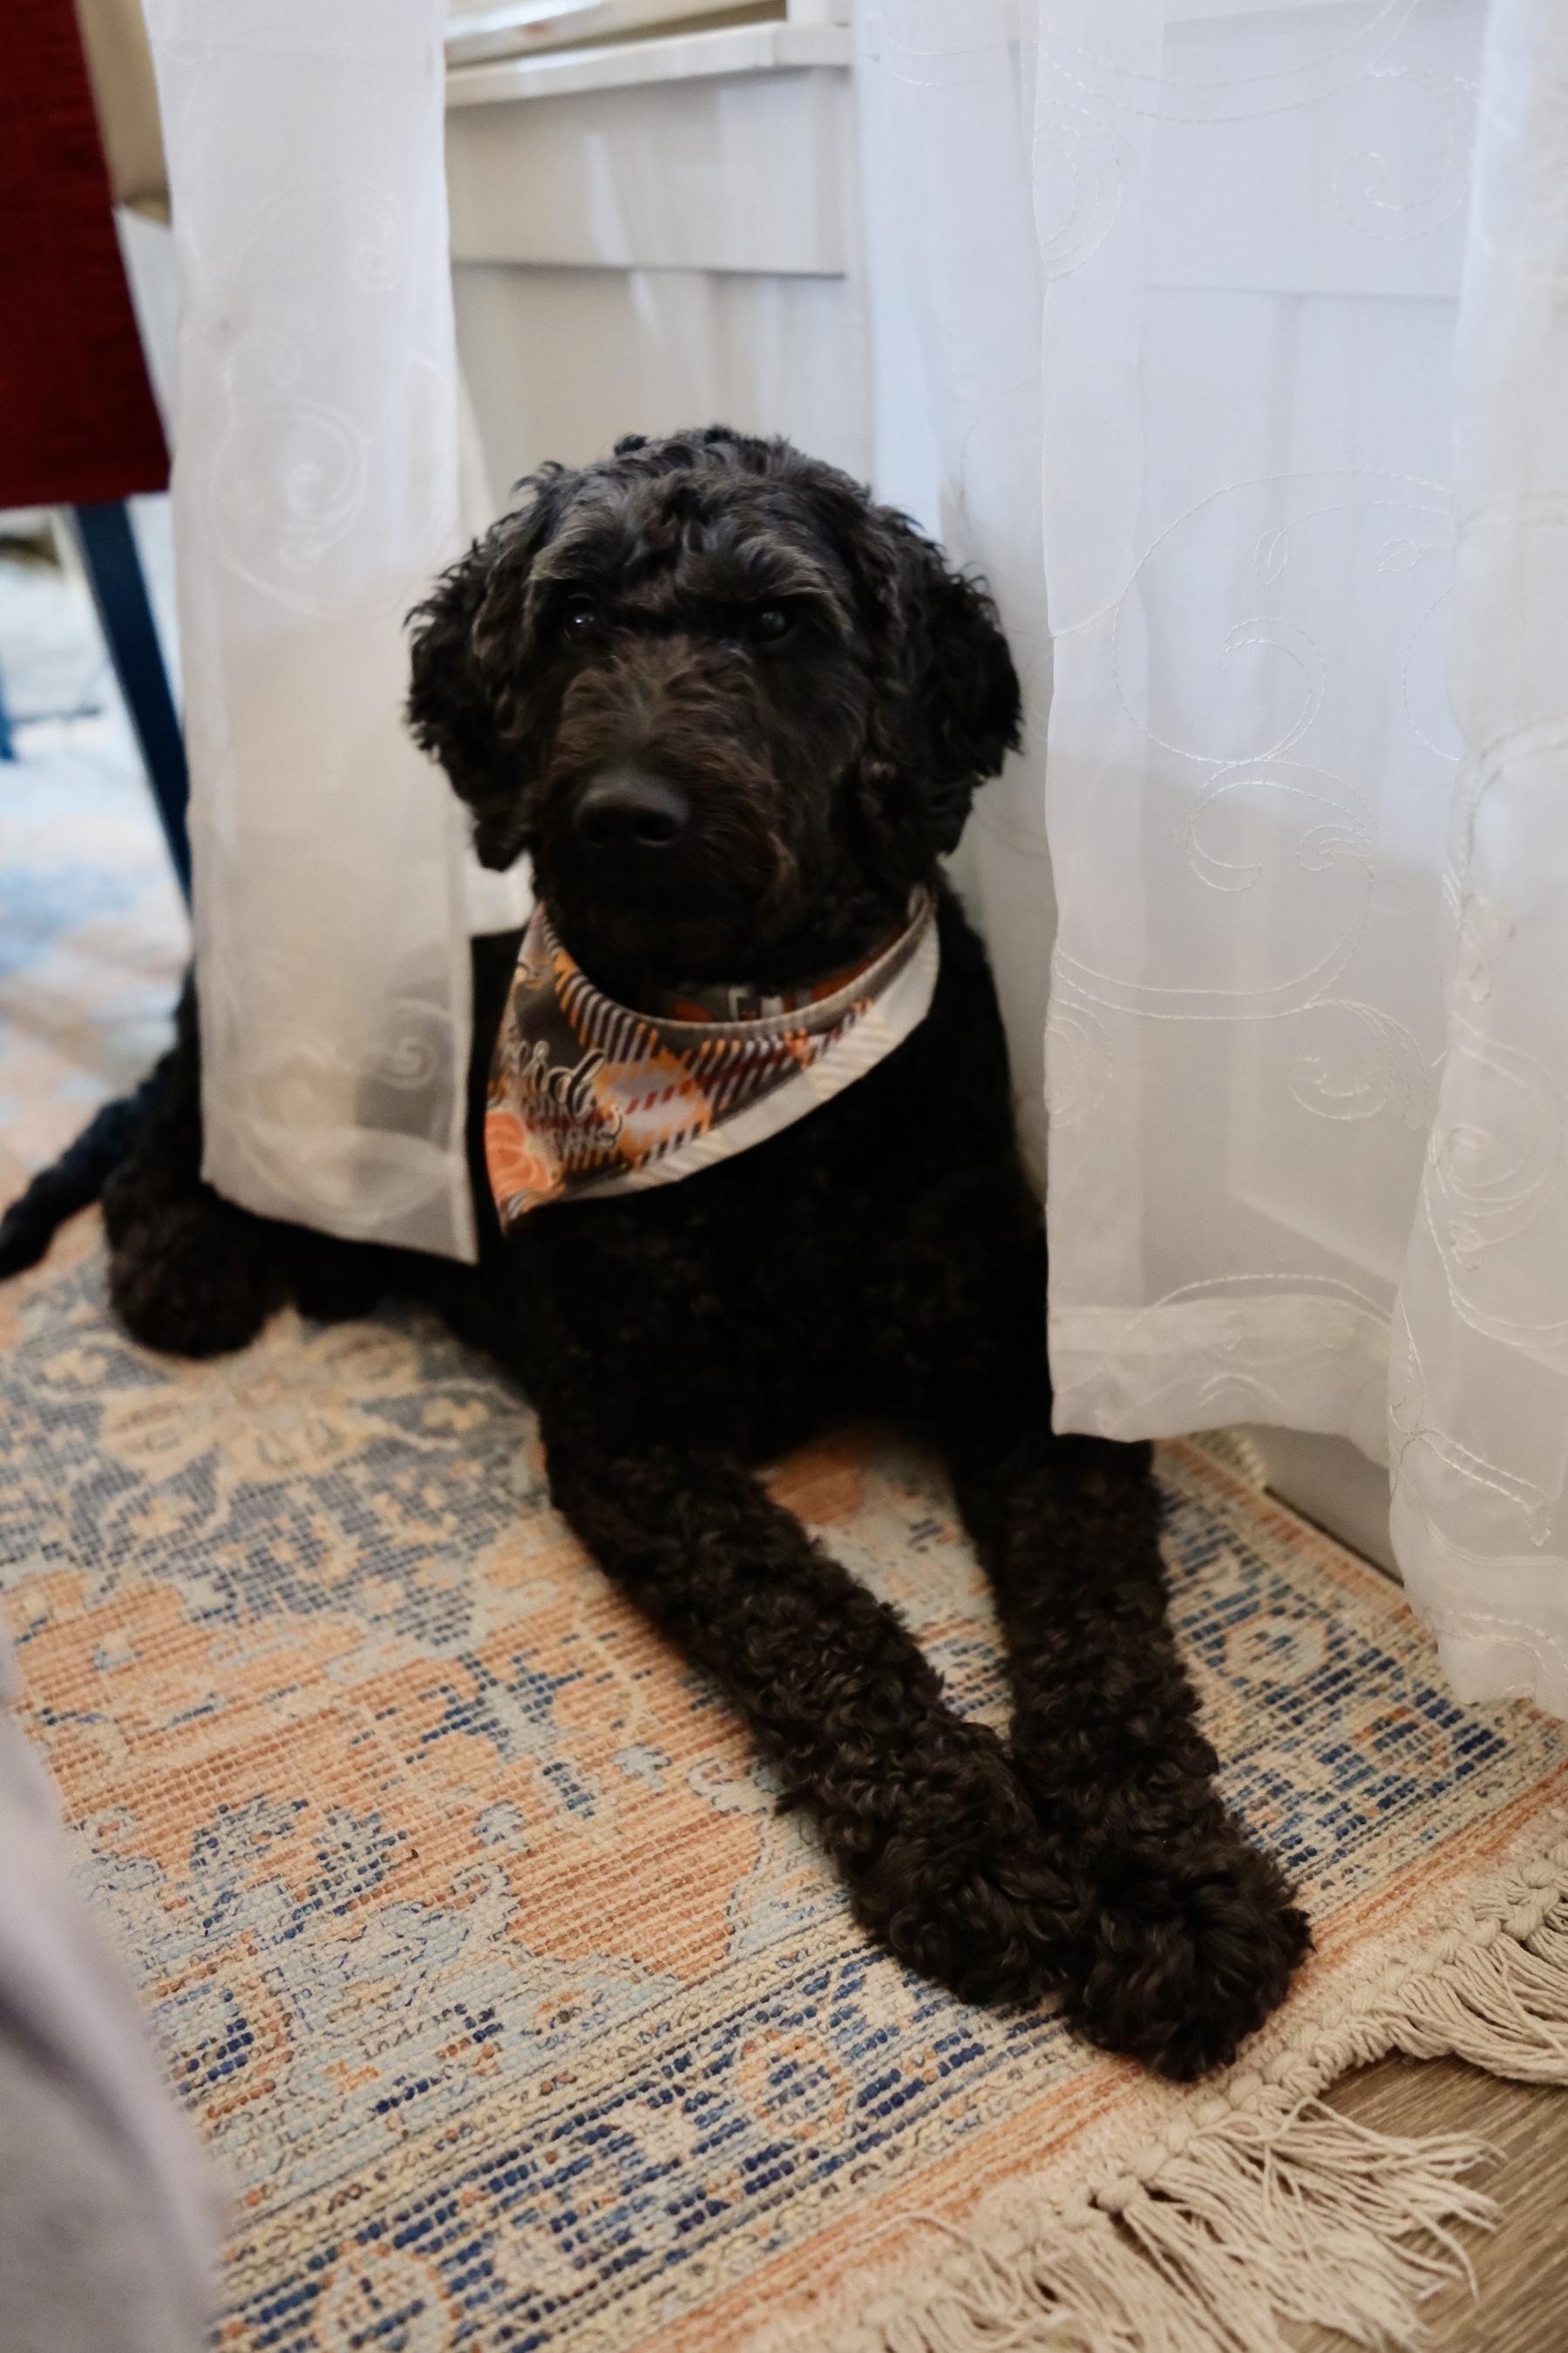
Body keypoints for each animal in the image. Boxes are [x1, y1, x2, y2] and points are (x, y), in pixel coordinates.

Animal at [3, 428, 1316, 2079]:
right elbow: (807, 1614)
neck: (743, 1053)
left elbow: (1104, 1640)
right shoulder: (628, 1435)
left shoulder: (1020, 1380)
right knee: (168, 1131)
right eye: (569, 616)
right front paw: (960, 1841)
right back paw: (192, 1265)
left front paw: (1168, 1885)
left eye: (776, 623)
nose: (627, 811)